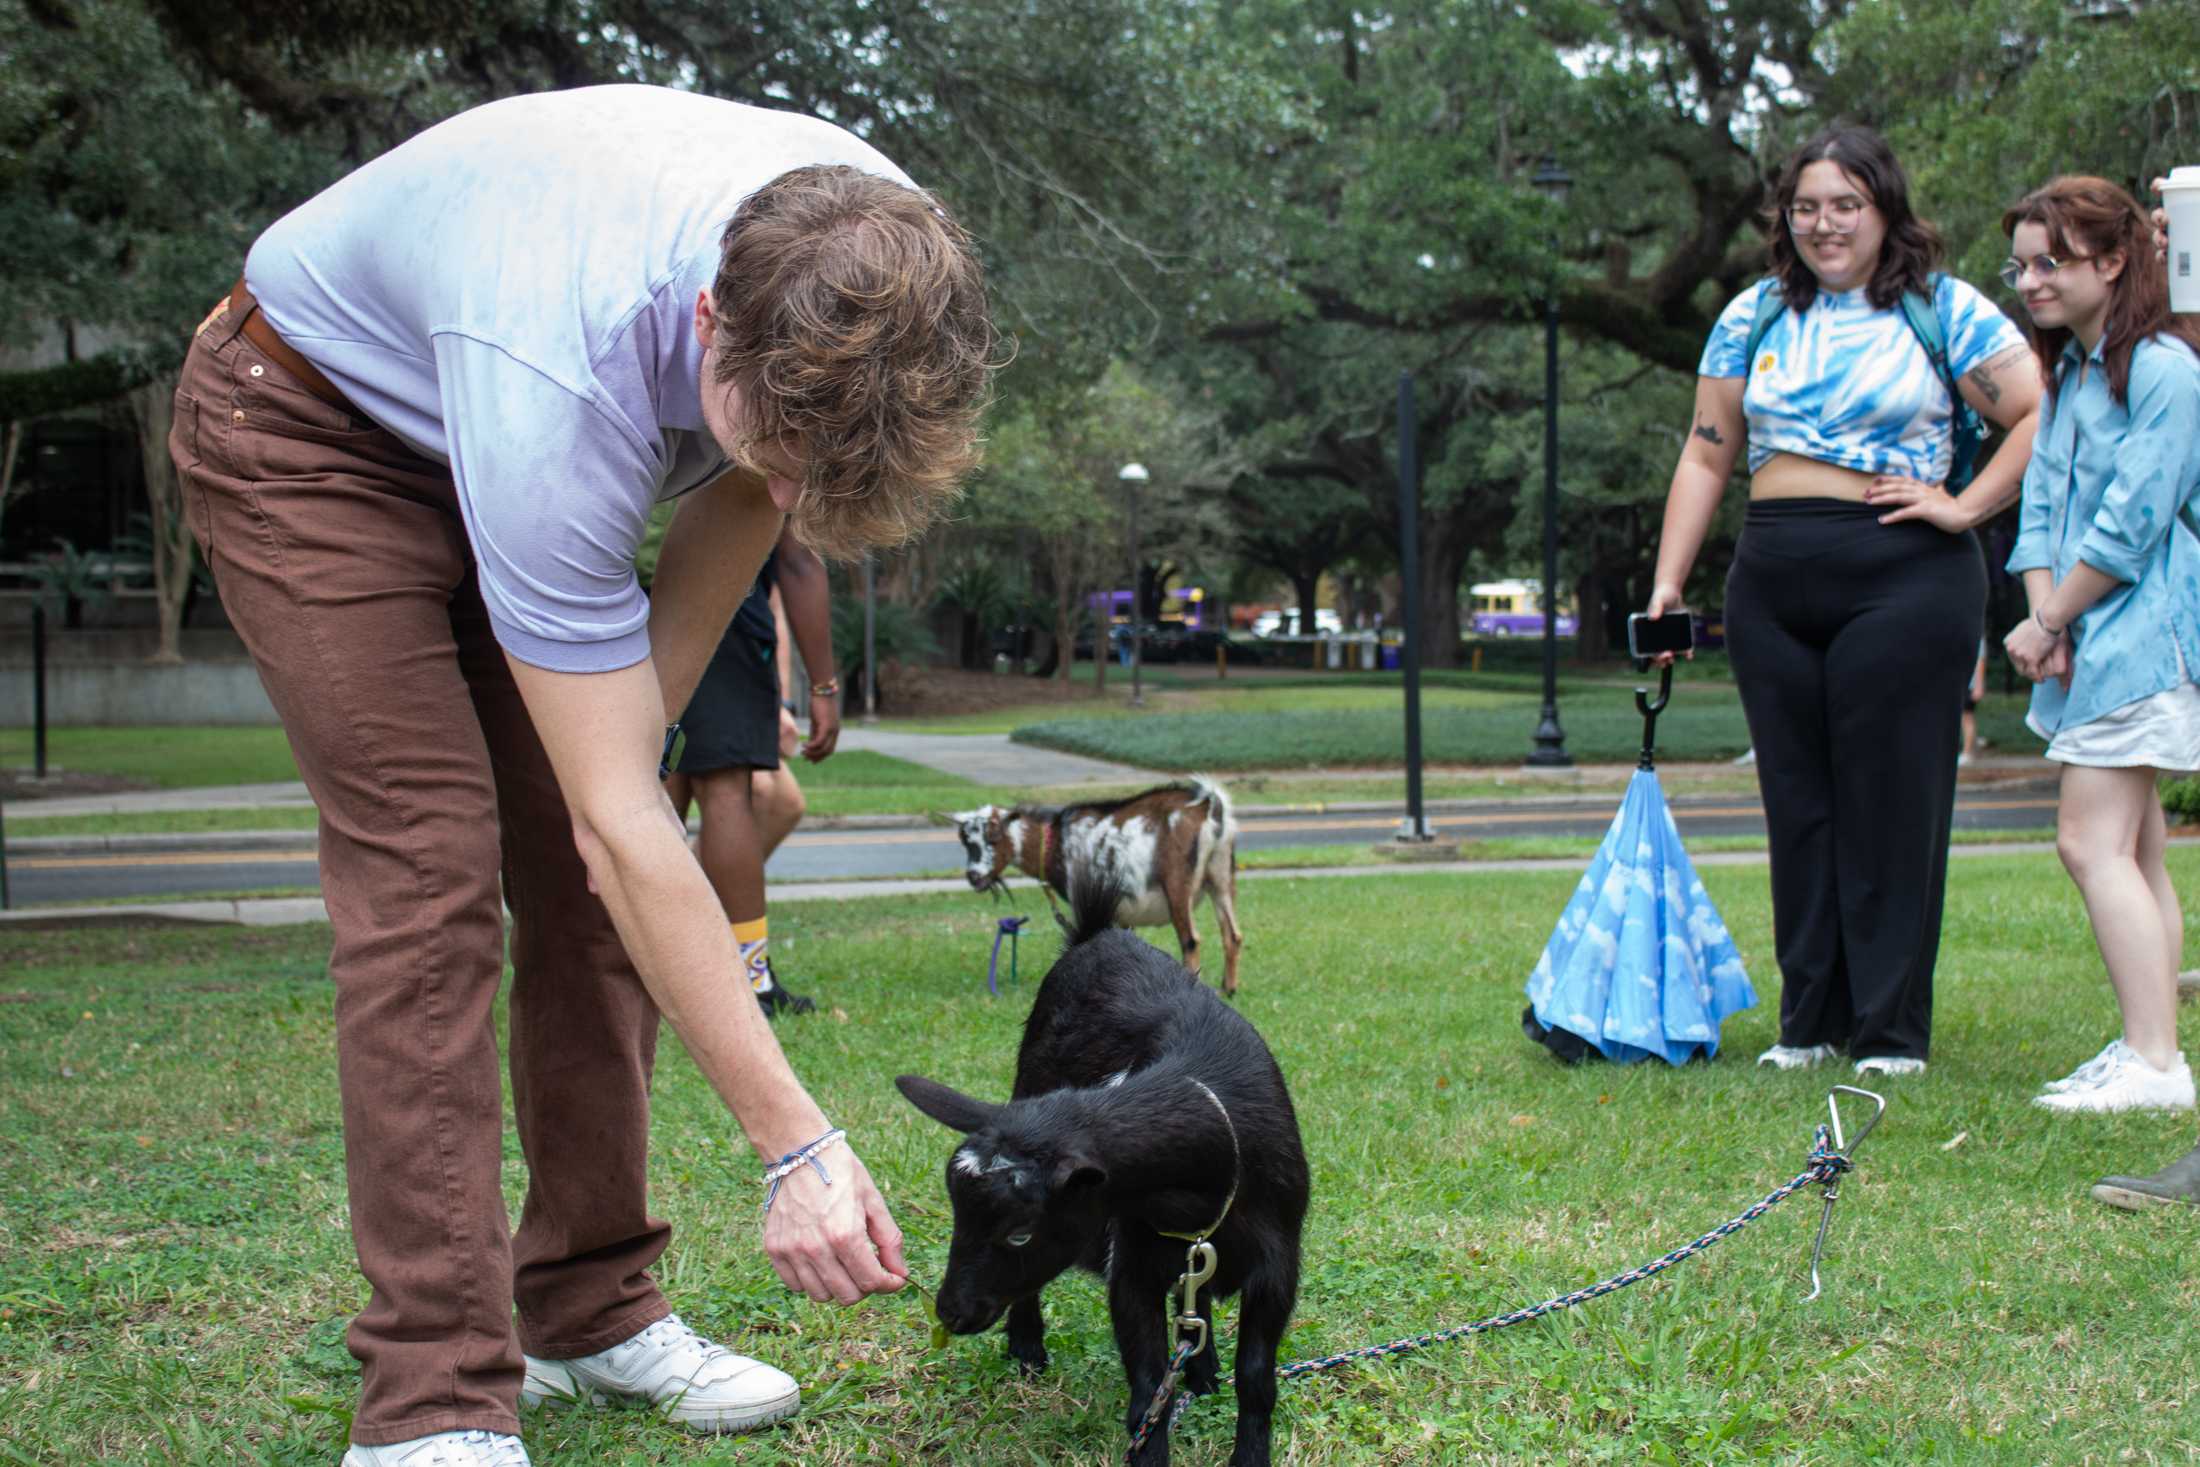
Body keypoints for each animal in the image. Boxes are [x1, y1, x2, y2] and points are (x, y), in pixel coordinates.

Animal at [893, 879, 1302, 1460]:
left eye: (1021, 1233)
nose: (950, 1312)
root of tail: (1098, 934)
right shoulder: (1132, 1266)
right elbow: (1148, 1397)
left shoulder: (1277, 1266)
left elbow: (1256, 1380)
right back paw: (1028, 1347)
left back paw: (1201, 1370)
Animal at [954, 778, 1249, 998]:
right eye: (965, 841)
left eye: (994, 837)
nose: (974, 876)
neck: (1054, 842)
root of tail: (1209, 807)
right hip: (1221, 875)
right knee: (1232, 934)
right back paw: (1228, 988)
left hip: (1178, 883)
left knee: (1190, 939)